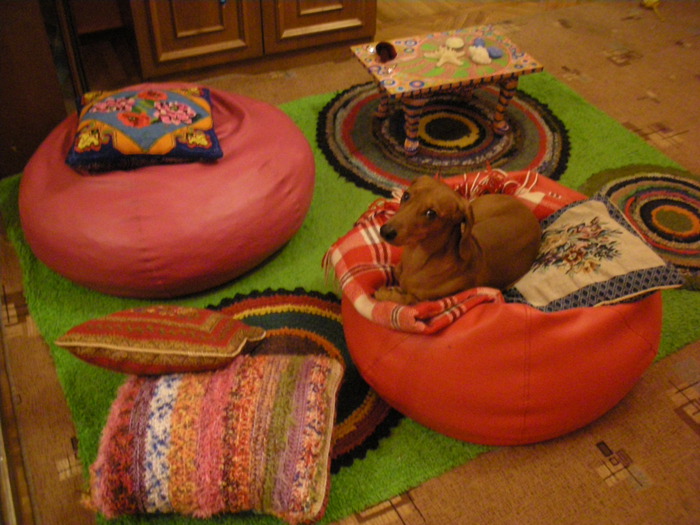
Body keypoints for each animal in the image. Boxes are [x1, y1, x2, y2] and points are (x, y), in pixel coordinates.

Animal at [374, 175, 542, 305]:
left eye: (431, 213)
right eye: (406, 196)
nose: (385, 231)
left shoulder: (426, 300)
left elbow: (406, 299)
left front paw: (386, 293)